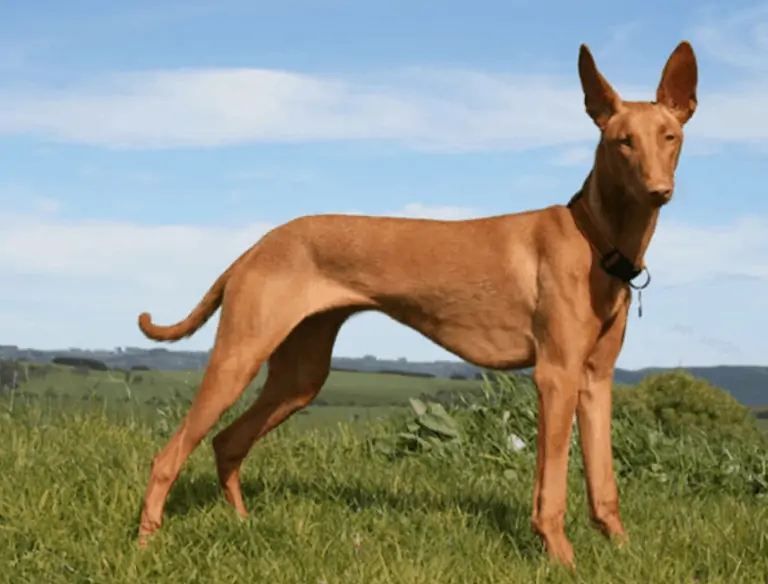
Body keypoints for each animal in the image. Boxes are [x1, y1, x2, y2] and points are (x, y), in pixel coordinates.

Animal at [136, 42, 696, 572]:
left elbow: (604, 485)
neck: (595, 238)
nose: (659, 191)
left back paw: (242, 524)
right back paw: (145, 543)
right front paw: (562, 558)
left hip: (299, 376)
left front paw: (623, 551)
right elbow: (550, 491)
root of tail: (255, 247)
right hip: (238, 357)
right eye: (622, 140)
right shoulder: (555, 375)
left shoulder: (596, 378)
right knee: (167, 455)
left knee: (226, 442)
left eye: (670, 136)